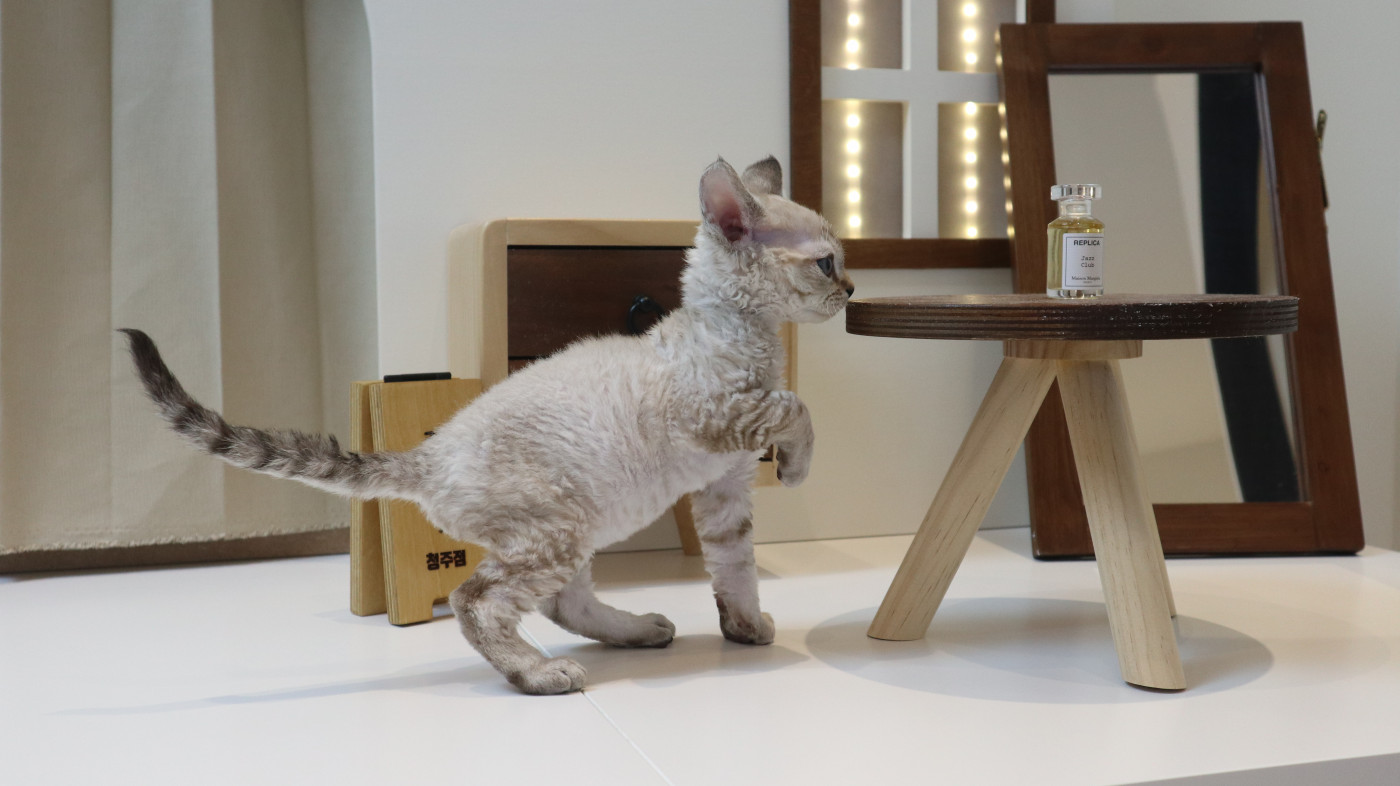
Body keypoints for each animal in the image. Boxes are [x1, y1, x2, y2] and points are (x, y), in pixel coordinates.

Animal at [121, 156, 853, 695]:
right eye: (827, 262)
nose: (850, 291)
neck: (739, 332)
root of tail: (428, 456)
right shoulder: (721, 420)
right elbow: (797, 408)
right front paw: (798, 468)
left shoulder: (724, 487)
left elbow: (735, 567)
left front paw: (747, 628)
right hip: (553, 533)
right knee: (477, 600)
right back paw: (539, 673)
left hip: (575, 528)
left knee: (561, 605)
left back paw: (638, 630)